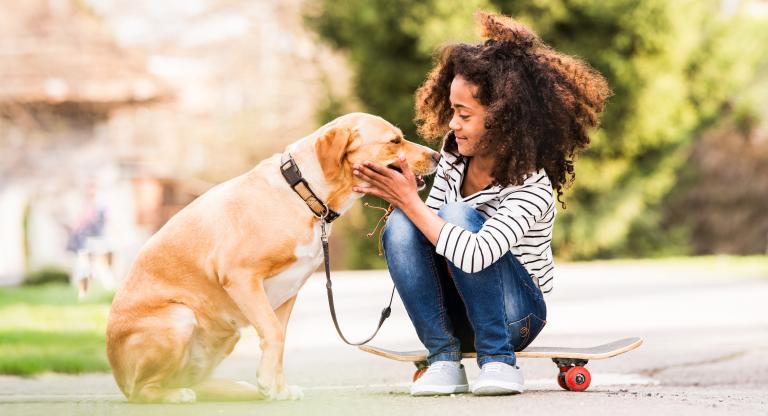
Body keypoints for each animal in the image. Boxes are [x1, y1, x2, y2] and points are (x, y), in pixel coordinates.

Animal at [105, 112, 438, 402]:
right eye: (394, 141)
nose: (437, 155)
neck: (304, 194)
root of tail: (118, 377)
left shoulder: (288, 292)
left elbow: (279, 337)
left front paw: (277, 389)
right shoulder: (241, 277)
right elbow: (274, 333)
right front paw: (269, 384)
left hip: (227, 333)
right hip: (181, 317)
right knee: (142, 390)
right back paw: (173, 395)